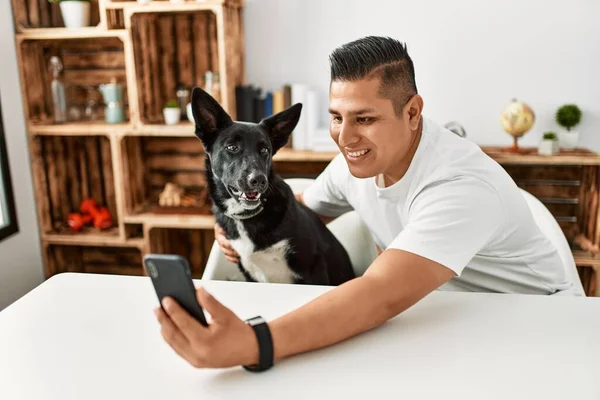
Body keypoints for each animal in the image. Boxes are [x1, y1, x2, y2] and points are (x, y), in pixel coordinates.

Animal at [190, 86, 354, 284]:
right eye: (232, 147)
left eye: (265, 150)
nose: (259, 180)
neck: (248, 217)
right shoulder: (249, 272)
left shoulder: (314, 267)